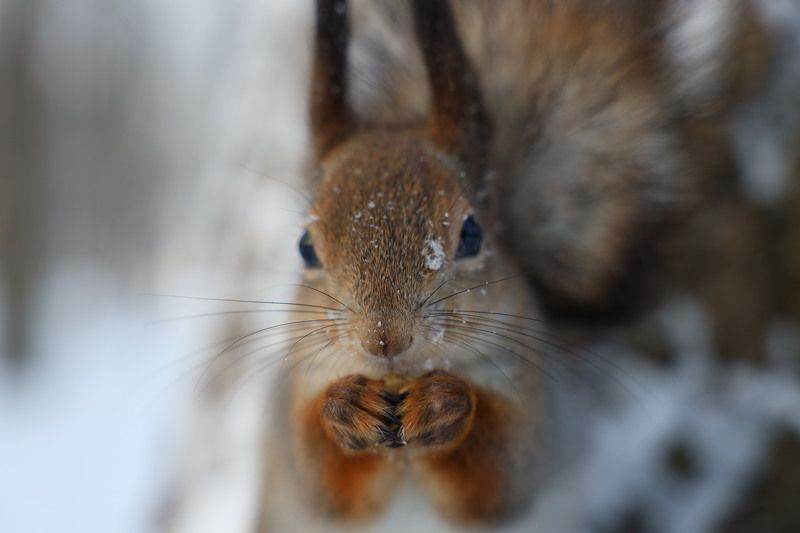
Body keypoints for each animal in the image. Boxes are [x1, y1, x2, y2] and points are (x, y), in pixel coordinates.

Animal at [255, 0, 777, 529]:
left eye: (471, 234)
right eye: (305, 247)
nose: (385, 340)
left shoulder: (533, 401)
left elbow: (501, 477)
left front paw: (445, 404)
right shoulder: (295, 396)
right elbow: (323, 481)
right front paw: (347, 407)